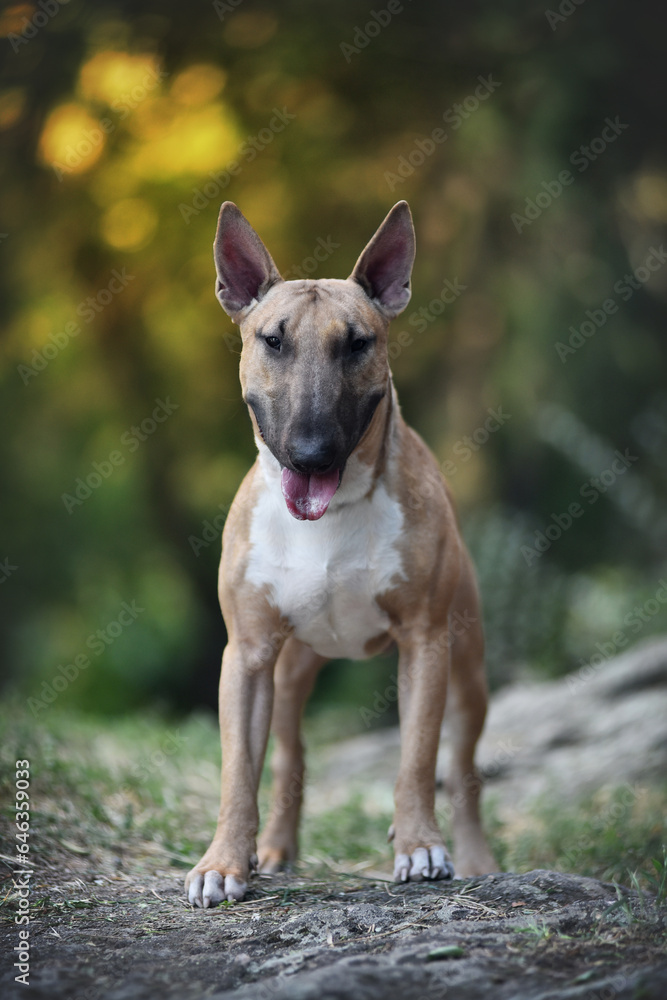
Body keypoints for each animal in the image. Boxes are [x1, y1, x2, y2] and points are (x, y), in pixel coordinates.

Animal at [185, 201, 498, 908]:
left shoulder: (425, 643)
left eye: (358, 342)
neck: (330, 516)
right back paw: (275, 849)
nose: (311, 453)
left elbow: (417, 759)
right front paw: (223, 862)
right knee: (290, 757)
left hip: (468, 672)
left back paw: (475, 856)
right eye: (272, 340)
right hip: (288, 672)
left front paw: (419, 847)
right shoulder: (246, 655)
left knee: (464, 769)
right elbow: (238, 771)